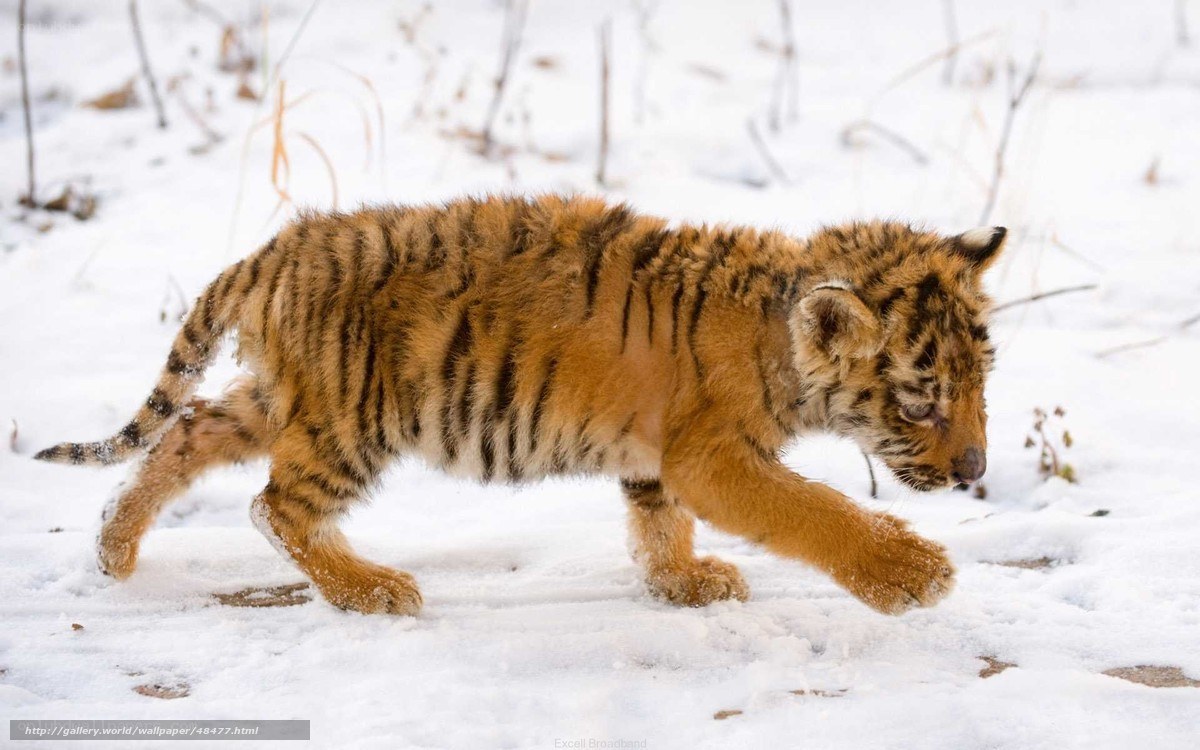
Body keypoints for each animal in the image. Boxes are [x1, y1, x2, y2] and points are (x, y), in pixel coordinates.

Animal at [35, 194, 1005, 617]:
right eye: (923, 402)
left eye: (982, 384)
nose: (976, 469)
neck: (780, 326)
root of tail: (274, 251)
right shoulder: (715, 457)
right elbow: (815, 510)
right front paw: (912, 574)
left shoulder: (659, 460)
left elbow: (658, 524)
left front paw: (683, 583)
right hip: (351, 419)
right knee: (275, 506)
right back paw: (371, 589)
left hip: (280, 399)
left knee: (185, 433)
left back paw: (114, 550)